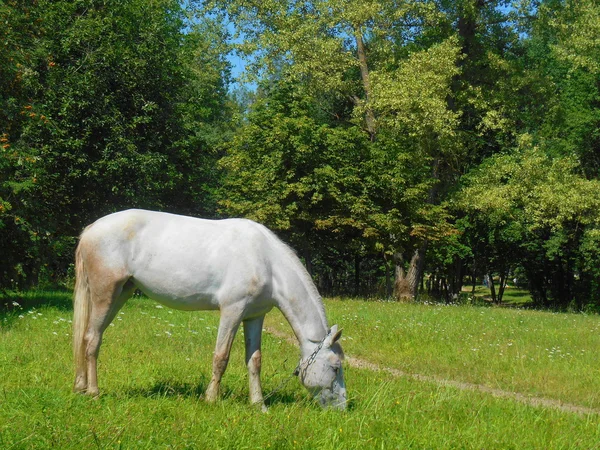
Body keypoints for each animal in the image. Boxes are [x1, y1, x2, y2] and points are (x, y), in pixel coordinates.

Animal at [72, 209, 346, 410]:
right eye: (335, 367)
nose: (342, 408)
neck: (266, 261)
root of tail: (91, 229)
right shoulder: (232, 311)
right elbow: (221, 356)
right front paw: (211, 399)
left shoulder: (254, 316)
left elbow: (255, 360)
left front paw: (259, 405)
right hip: (105, 295)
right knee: (92, 339)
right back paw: (93, 392)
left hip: (120, 294)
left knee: (86, 337)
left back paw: (80, 387)